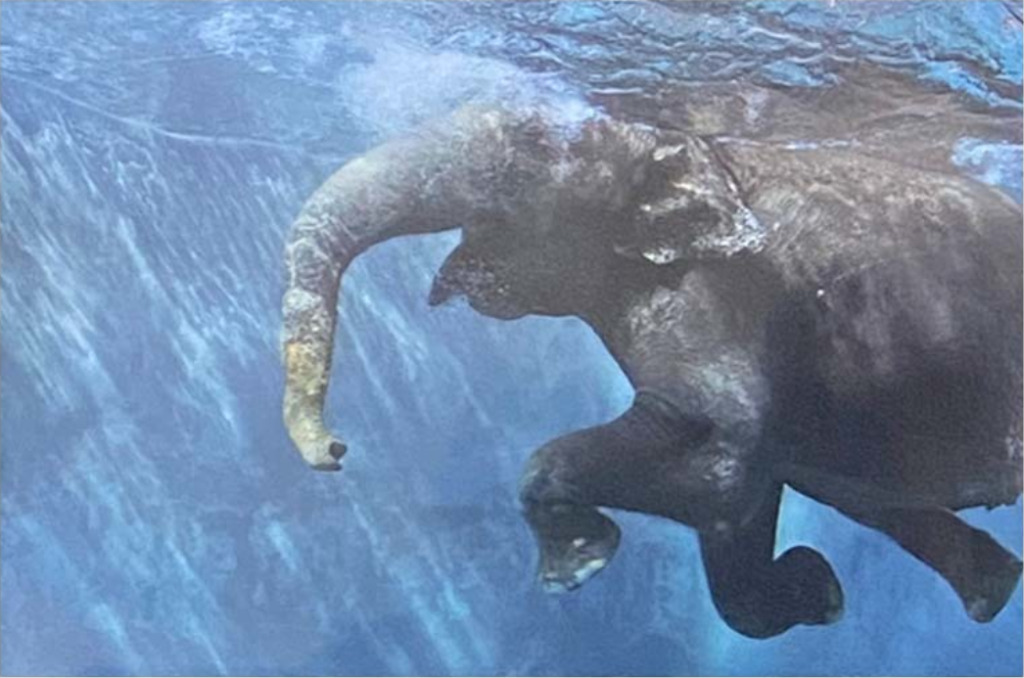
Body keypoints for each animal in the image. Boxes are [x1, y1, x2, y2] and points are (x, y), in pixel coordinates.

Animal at [280, 101, 1022, 638]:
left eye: (532, 145)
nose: (336, 450)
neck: (676, 146)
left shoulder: (718, 296)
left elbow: (720, 458)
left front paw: (575, 569)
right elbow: (745, 507)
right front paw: (819, 592)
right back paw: (991, 589)